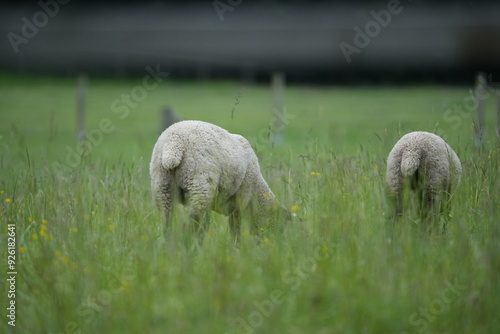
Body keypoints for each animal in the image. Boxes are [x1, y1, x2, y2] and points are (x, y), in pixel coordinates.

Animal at [149, 120, 290, 240]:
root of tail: (174, 145)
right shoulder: (239, 200)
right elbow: (235, 227)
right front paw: (236, 246)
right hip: (199, 185)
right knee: (196, 224)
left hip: (162, 186)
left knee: (166, 222)